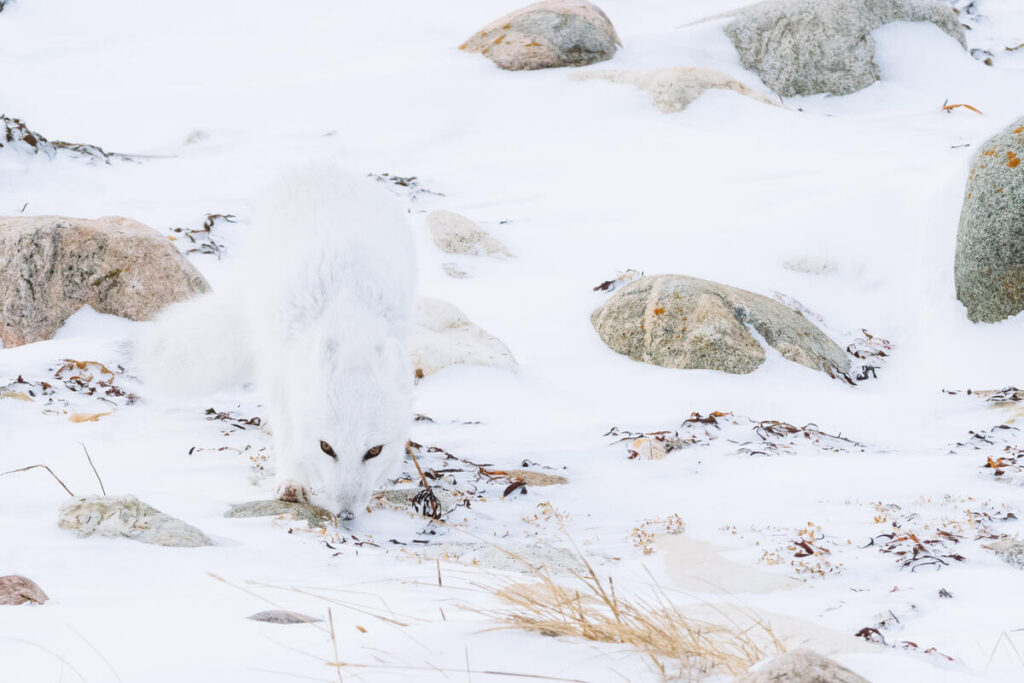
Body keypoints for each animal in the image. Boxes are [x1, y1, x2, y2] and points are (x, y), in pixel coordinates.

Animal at [138, 167, 415, 519]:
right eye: (326, 447)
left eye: (374, 450)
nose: (346, 514)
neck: (346, 307)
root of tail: (322, 169)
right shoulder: (279, 371)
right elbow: (288, 433)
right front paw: (292, 483)